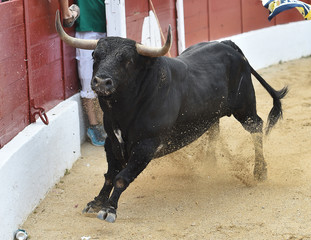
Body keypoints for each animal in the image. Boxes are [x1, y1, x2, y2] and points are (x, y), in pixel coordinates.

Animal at [55, 10, 288, 222]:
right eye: (95, 56)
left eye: (128, 60)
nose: (102, 81)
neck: (125, 110)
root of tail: (227, 44)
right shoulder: (111, 142)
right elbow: (110, 176)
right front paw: (96, 203)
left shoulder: (146, 146)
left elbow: (122, 178)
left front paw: (109, 209)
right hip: (213, 110)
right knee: (214, 128)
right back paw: (209, 162)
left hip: (244, 107)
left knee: (256, 127)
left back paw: (260, 172)